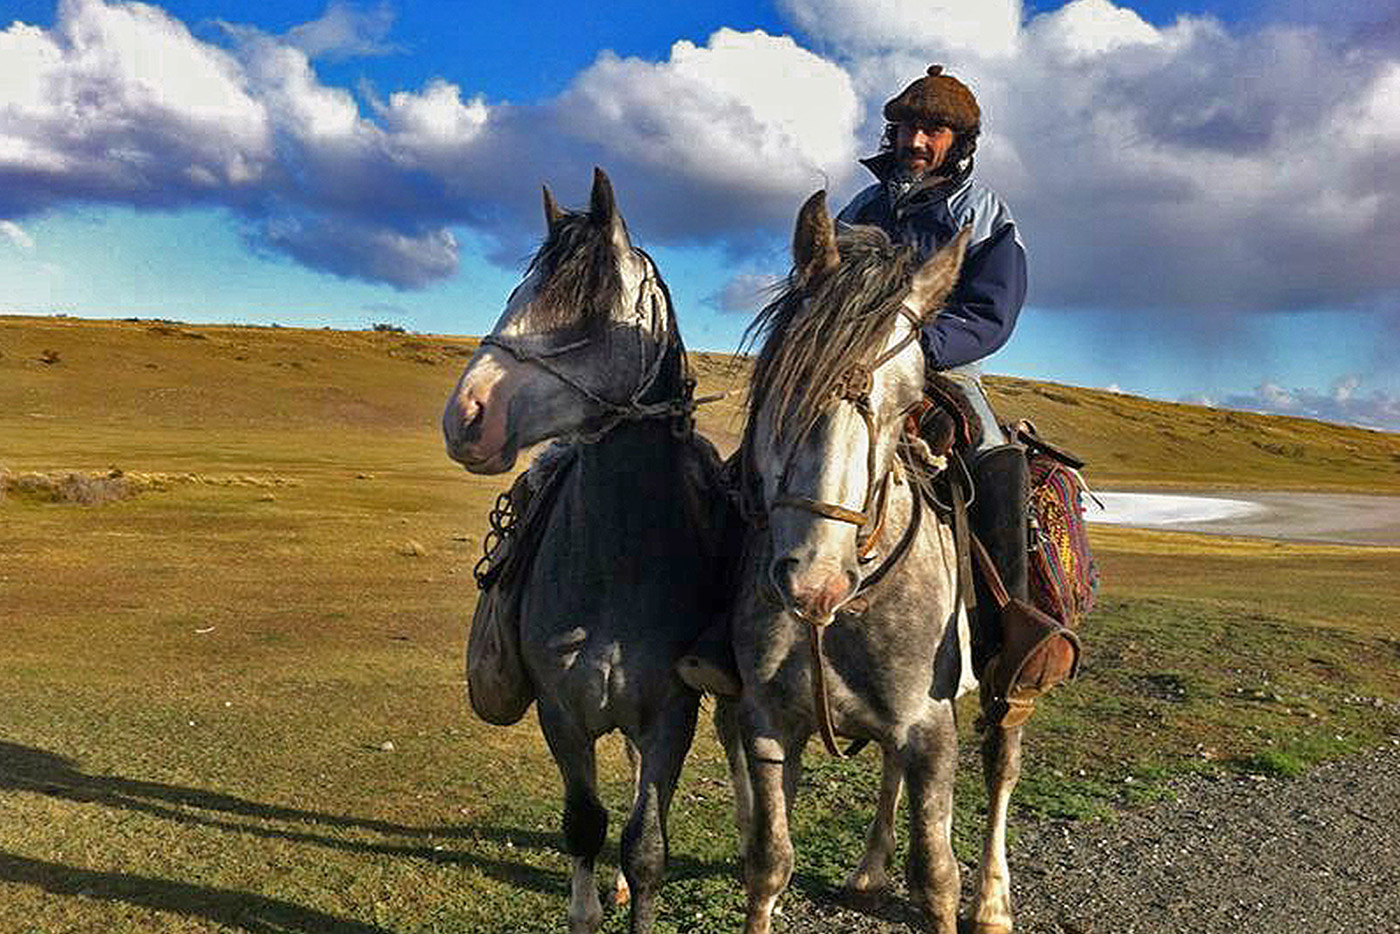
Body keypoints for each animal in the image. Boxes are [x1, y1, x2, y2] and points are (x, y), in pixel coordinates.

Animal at [442, 170, 728, 934]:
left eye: (591, 309)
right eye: (519, 290)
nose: (466, 418)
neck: (618, 563)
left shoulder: (671, 716)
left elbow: (645, 845)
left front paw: (636, 885)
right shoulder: (560, 714)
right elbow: (585, 827)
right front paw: (593, 901)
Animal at [716, 190, 1024, 934]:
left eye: (910, 404)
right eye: (781, 378)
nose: (814, 585)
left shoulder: (932, 730)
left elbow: (936, 876)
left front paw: (957, 895)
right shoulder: (769, 722)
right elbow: (768, 863)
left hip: (1006, 687)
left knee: (1001, 767)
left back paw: (992, 901)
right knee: (888, 767)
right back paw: (867, 869)